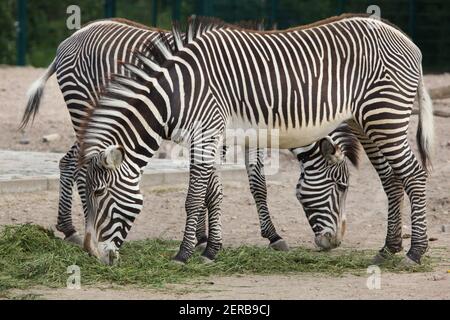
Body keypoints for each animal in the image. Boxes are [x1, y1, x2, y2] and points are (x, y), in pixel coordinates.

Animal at [77, 13, 432, 264]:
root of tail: (408, 40)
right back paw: (388, 250)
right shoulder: (208, 136)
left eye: (99, 193)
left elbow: (195, 198)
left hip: (384, 115)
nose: (96, 256)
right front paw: (211, 250)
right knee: (392, 178)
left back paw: (414, 253)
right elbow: (213, 194)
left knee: (413, 174)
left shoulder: (207, 132)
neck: (175, 94)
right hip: (369, 120)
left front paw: (183, 254)